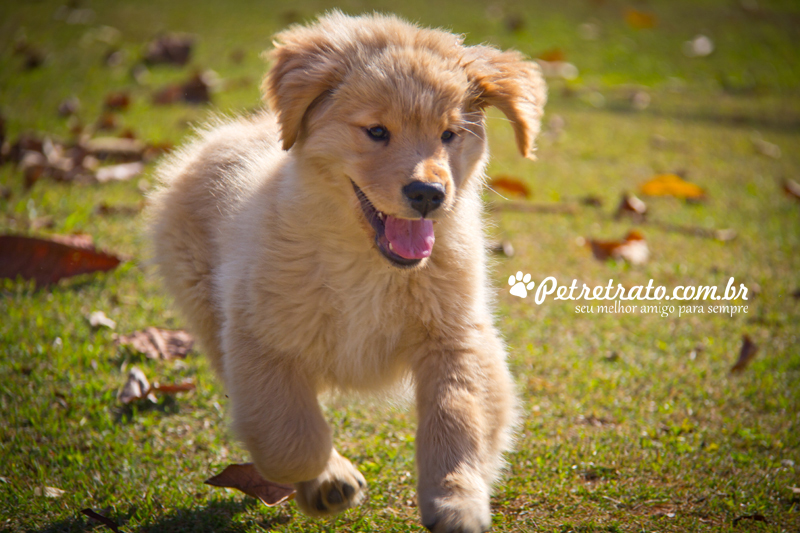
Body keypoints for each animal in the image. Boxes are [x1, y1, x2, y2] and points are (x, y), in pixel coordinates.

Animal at [148, 12, 544, 532]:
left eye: (449, 134)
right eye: (376, 131)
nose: (427, 194)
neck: (368, 263)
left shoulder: (456, 337)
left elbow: (457, 417)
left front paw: (456, 500)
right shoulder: (259, 339)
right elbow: (290, 439)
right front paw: (326, 476)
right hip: (204, 304)